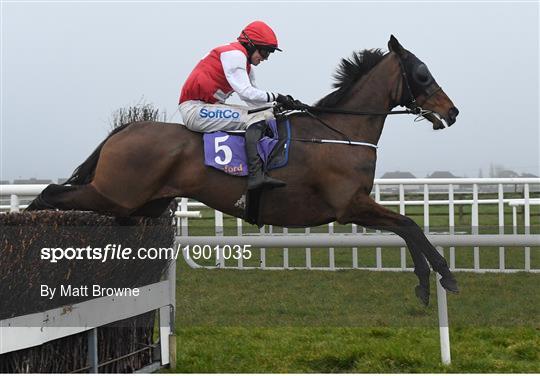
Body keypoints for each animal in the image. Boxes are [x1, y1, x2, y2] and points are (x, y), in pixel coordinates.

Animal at [27, 36, 460, 306]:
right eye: (422, 73)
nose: (452, 111)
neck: (340, 133)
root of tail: (126, 128)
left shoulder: (357, 205)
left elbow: (408, 228)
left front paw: (428, 282)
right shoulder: (349, 205)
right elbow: (409, 225)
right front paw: (442, 276)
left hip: (141, 206)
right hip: (115, 193)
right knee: (50, 194)